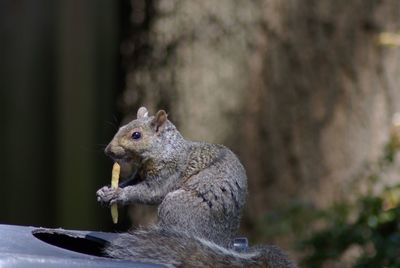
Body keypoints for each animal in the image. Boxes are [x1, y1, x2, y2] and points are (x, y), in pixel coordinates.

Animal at [96, 107, 294, 268]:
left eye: (136, 135)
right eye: (121, 128)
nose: (107, 151)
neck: (165, 150)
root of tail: (221, 242)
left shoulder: (169, 173)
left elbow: (149, 192)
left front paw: (118, 193)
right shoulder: (140, 174)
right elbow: (131, 182)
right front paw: (105, 191)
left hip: (176, 206)